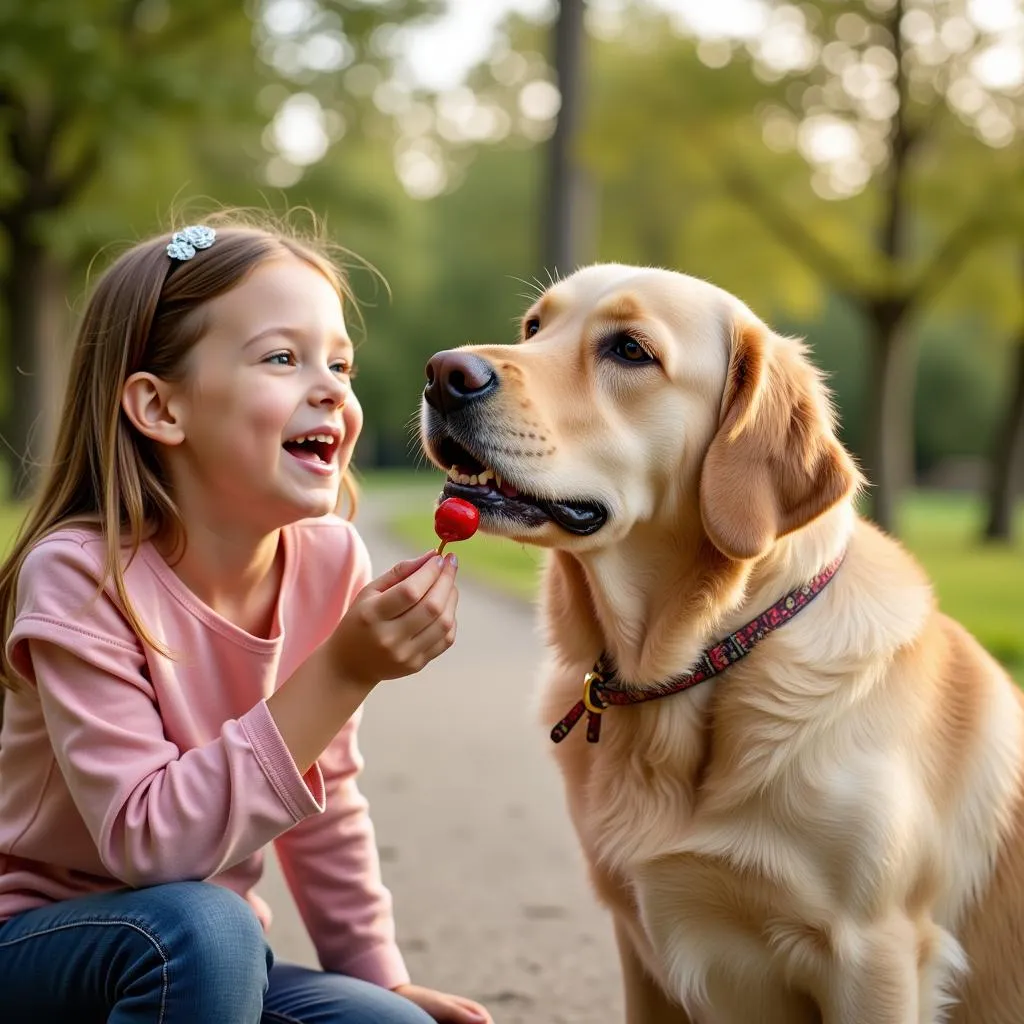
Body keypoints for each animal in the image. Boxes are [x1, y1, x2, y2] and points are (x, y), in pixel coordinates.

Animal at [417, 266, 1024, 1024]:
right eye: (534, 327)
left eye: (630, 350)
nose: (443, 374)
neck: (710, 656)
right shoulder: (640, 948)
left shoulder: (876, 956)